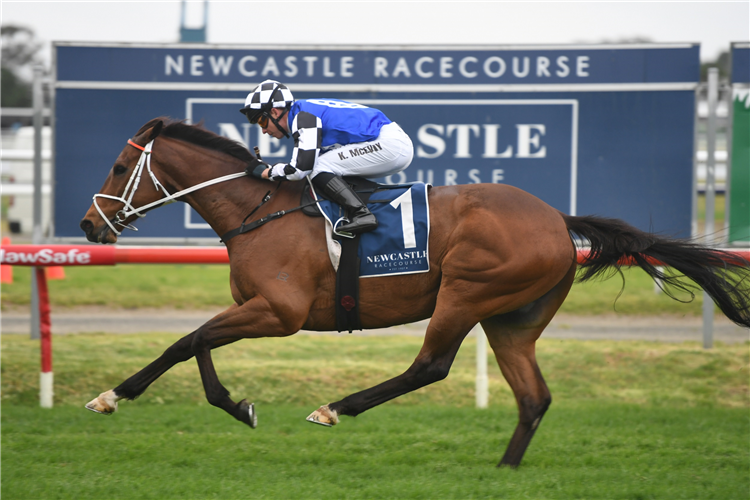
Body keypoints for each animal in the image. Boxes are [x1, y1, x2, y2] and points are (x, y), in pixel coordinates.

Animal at [79, 118, 748, 468]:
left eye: (119, 168)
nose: (88, 225)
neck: (259, 210)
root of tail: (558, 219)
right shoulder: (257, 308)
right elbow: (193, 342)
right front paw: (217, 402)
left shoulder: (279, 311)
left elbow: (190, 340)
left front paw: (130, 396)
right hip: (511, 319)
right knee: (533, 396)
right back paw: (505, 469)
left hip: (467, 293)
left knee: (431, 365)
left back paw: (336, 407)